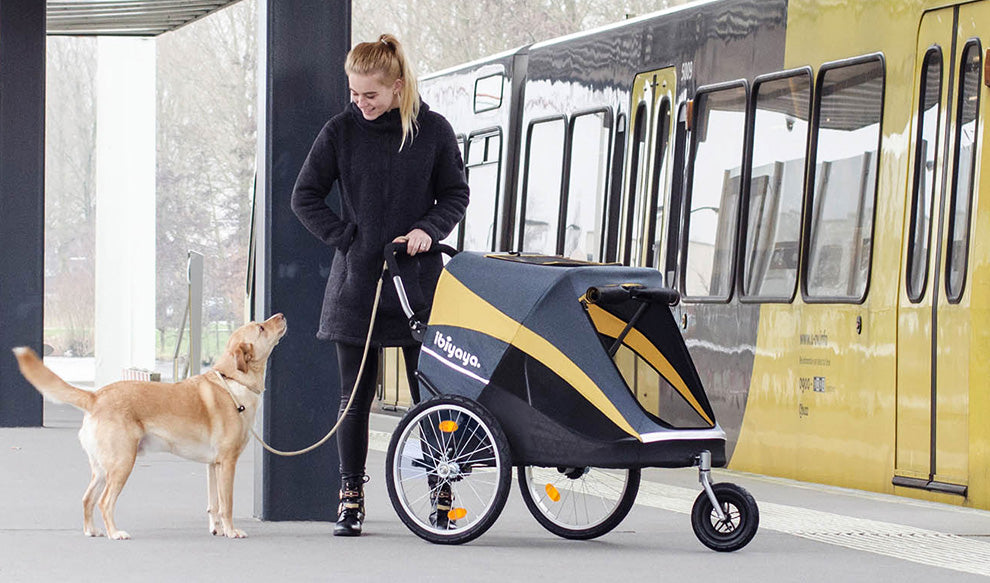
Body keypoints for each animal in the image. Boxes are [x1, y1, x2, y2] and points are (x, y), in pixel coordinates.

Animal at [13, 314, 288, 544]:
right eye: (261, 327)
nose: (281, 315)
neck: (233, 382)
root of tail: (96, 396)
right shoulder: (228, 463)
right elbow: (227, 504)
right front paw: (231, 531)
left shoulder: (213, 465)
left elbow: (214, 505)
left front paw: (217, 529)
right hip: (123, 463)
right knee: (104, 501)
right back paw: (115, 533)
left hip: (102, 468)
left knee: (87, 498)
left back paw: (92, 530)